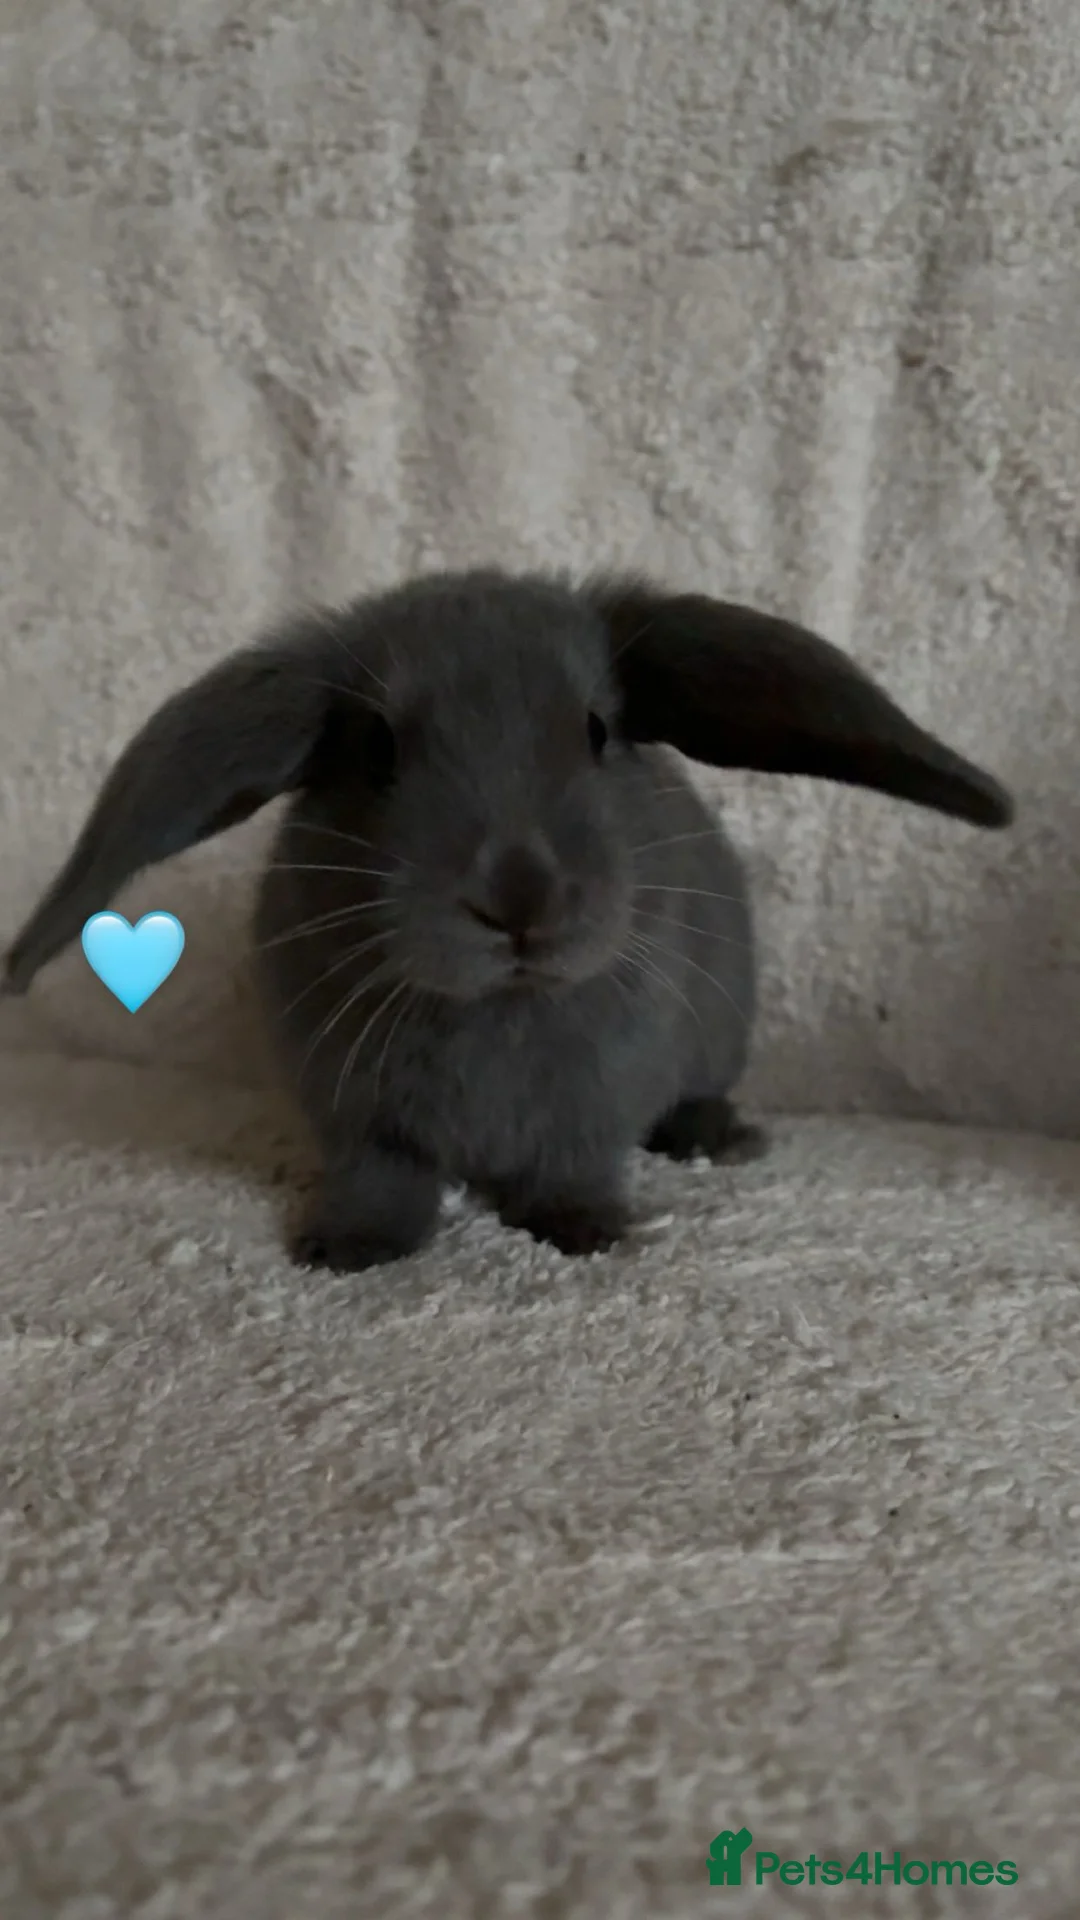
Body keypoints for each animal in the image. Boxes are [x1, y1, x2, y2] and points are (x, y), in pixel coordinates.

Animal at [3, 567, 1014, 1272]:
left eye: (599, 731)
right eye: (378, 748)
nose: (520, 899)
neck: (498, 1009)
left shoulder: (592, 1112)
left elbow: (572, 1172)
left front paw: (590, 1233)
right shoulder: (360, 1123)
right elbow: (383, 1184)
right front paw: (343, 1250)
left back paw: (720, 1139)